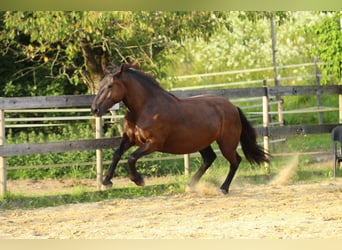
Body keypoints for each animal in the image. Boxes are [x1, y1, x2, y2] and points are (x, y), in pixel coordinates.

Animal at [91, 62, 270, 193]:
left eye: (110, 86)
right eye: (100, 84)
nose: (94, 109)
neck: (144, 108)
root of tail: (233, 107)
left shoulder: (153, 143)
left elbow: (131, 157)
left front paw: (138, 180)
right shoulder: (129, 138)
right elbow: (117, 154)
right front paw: (106, 181)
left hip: (226, 143)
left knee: (235, 161)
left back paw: (223, 188)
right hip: (201, 143)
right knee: (210, 158)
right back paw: (191, 185)